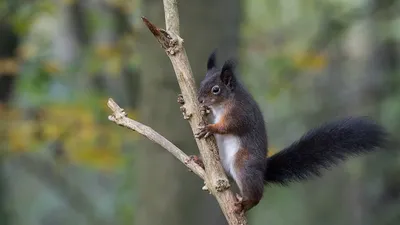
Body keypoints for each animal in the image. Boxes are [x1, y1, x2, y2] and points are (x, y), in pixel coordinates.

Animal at [190, 50, 388, 214]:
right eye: (201, 83)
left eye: (216, 89)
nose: (199, 100)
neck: (226, 102)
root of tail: (263, 171)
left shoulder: (241, 113)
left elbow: (230, 126)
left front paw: (210, 127)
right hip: (224, 164)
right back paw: (201, 163)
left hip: (244, 163)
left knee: (256, 193)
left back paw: (246, 203)